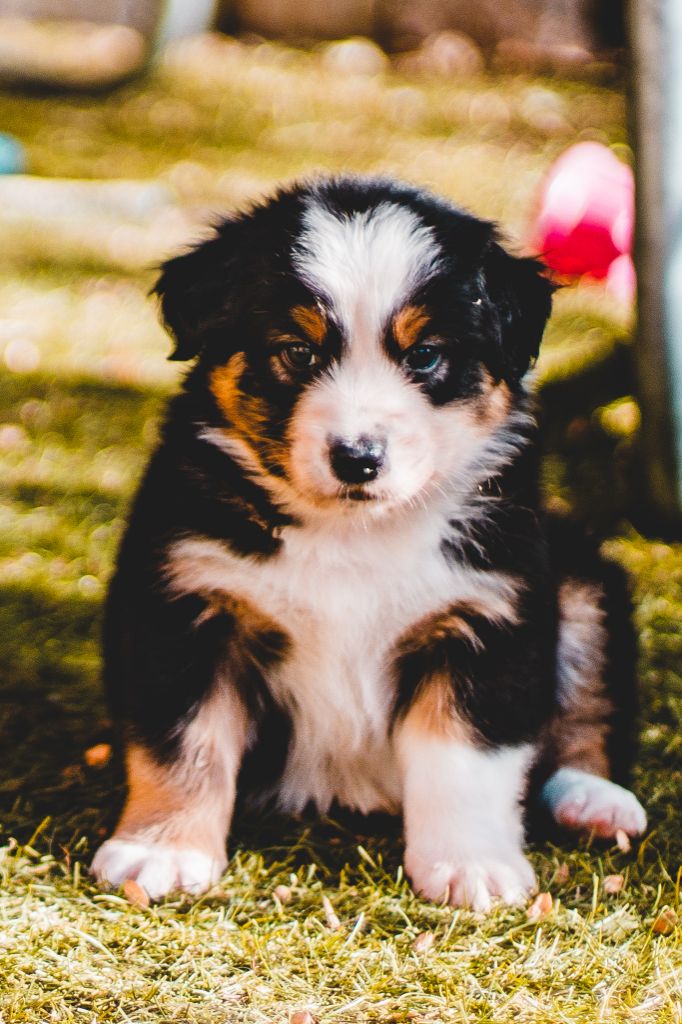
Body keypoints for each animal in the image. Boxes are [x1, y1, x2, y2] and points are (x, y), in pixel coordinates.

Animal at [92, 175, 646, 910]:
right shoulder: (188, 605)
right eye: (297, 351)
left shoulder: (488, 615)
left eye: (425, 355)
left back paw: (595, 800)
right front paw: (161, 851)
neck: (352, 535)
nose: (358, 458)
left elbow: (467, 760)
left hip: (581, 582)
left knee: (586, 709)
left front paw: (470, 865)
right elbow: (185, 745)